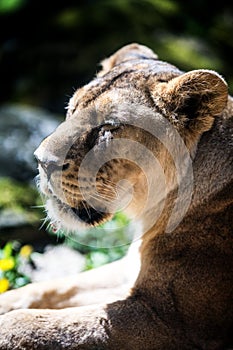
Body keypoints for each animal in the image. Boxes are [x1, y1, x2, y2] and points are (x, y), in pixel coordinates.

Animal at [0, 43, 232, 348]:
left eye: (108, 127)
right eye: (71, 109)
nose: (41, 161)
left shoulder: (168, 320)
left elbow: (36, 325)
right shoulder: (126, 272)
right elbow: (44, 289)